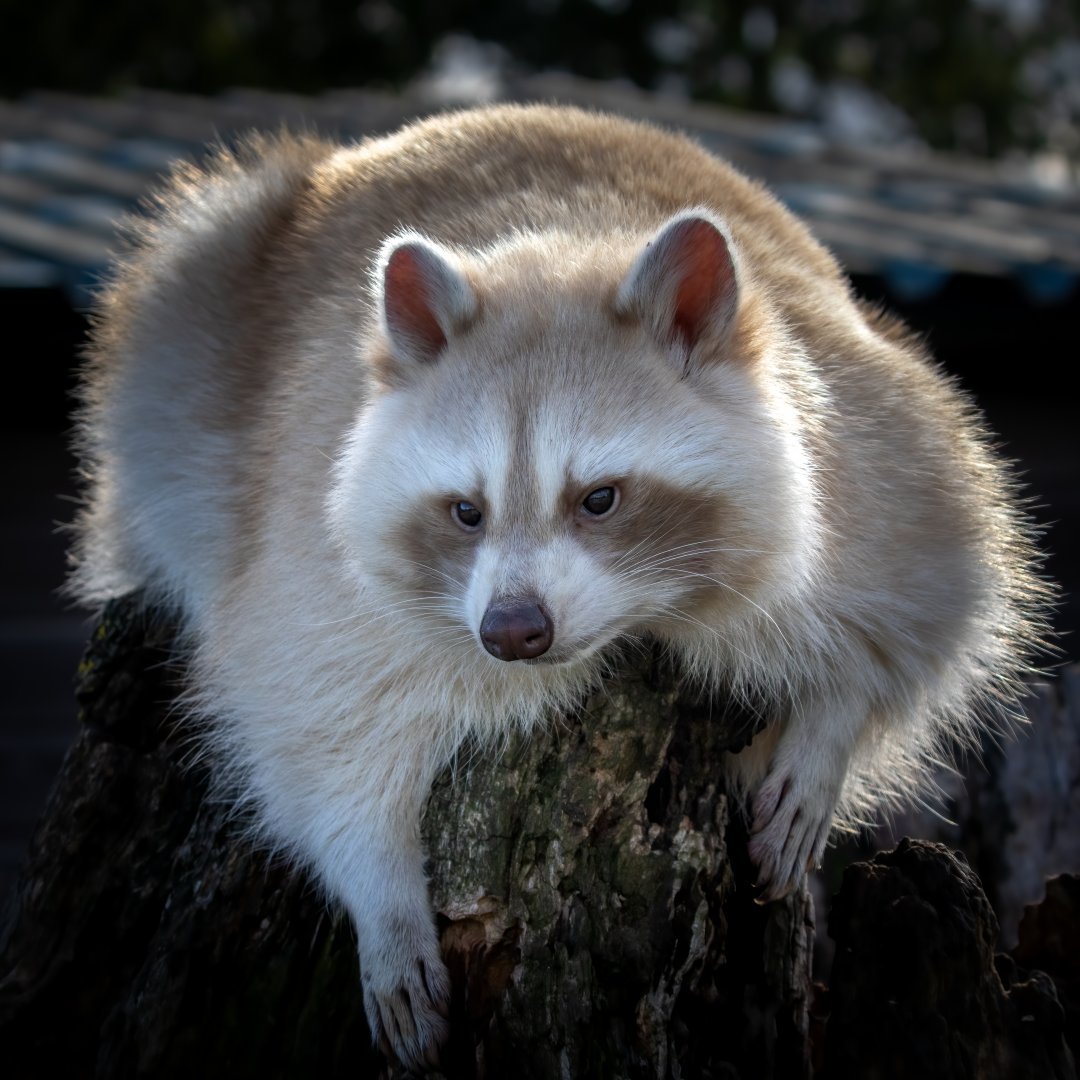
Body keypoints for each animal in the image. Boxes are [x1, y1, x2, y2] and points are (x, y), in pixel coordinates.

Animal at [69, 104, 1051, 1068]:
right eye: (466, 511)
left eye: (600, 499)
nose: (511, 632)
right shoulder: (311, 555)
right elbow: (311, 723)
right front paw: (381, 893)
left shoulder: (876, 446)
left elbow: (926, 595)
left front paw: (832, 721)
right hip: (194, 305)